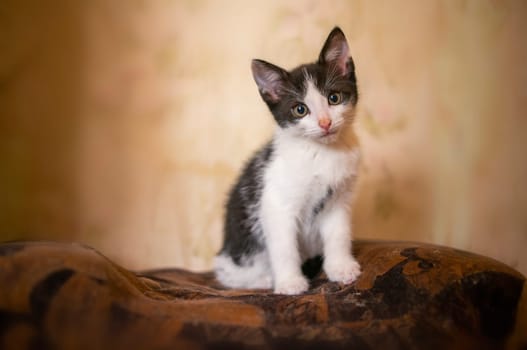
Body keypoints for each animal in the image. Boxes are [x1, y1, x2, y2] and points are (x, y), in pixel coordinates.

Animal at [217, 28, 360, 296]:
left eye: (334, 98)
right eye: (300, 110)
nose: (325, 123)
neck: (321, 153)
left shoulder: (338, 200)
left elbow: (338, 234)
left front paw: (341, 267)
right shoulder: (275, 205)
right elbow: (284, 247)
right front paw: (290, 282)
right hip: (239, 252)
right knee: (225, 273)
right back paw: (262, 280)